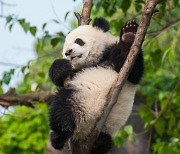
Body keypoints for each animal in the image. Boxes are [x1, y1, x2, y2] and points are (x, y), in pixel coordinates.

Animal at [48, 17, 144, 153]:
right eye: (65, 46)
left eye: (78, 41)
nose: (68, 52)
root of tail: (84, 130)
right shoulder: (76, 70)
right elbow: (61, 74)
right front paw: (61, 67)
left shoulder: (116, 57)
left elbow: (134, 72)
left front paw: (129, 35)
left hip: (83, 101)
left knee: (61, 107)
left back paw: (59, 136)